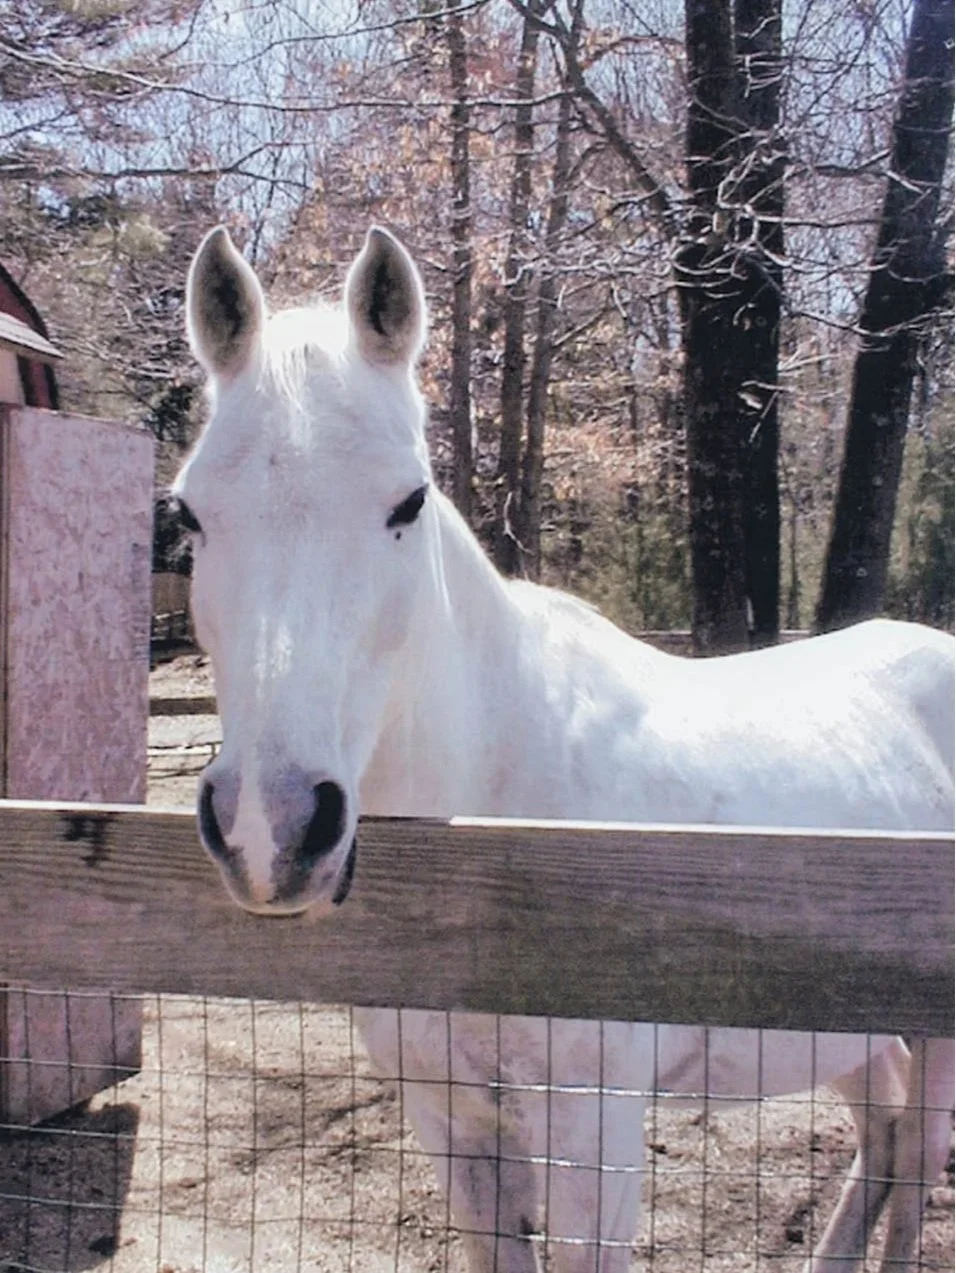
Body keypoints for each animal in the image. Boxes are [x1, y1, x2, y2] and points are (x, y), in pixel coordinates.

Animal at [174, 223, 954, 1272]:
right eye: (189, 513)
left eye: (408, 502)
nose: (273, 827)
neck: (508, 819)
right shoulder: (455, 1126)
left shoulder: (595, 1148)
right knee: (886, 1127)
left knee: (917, 1146)